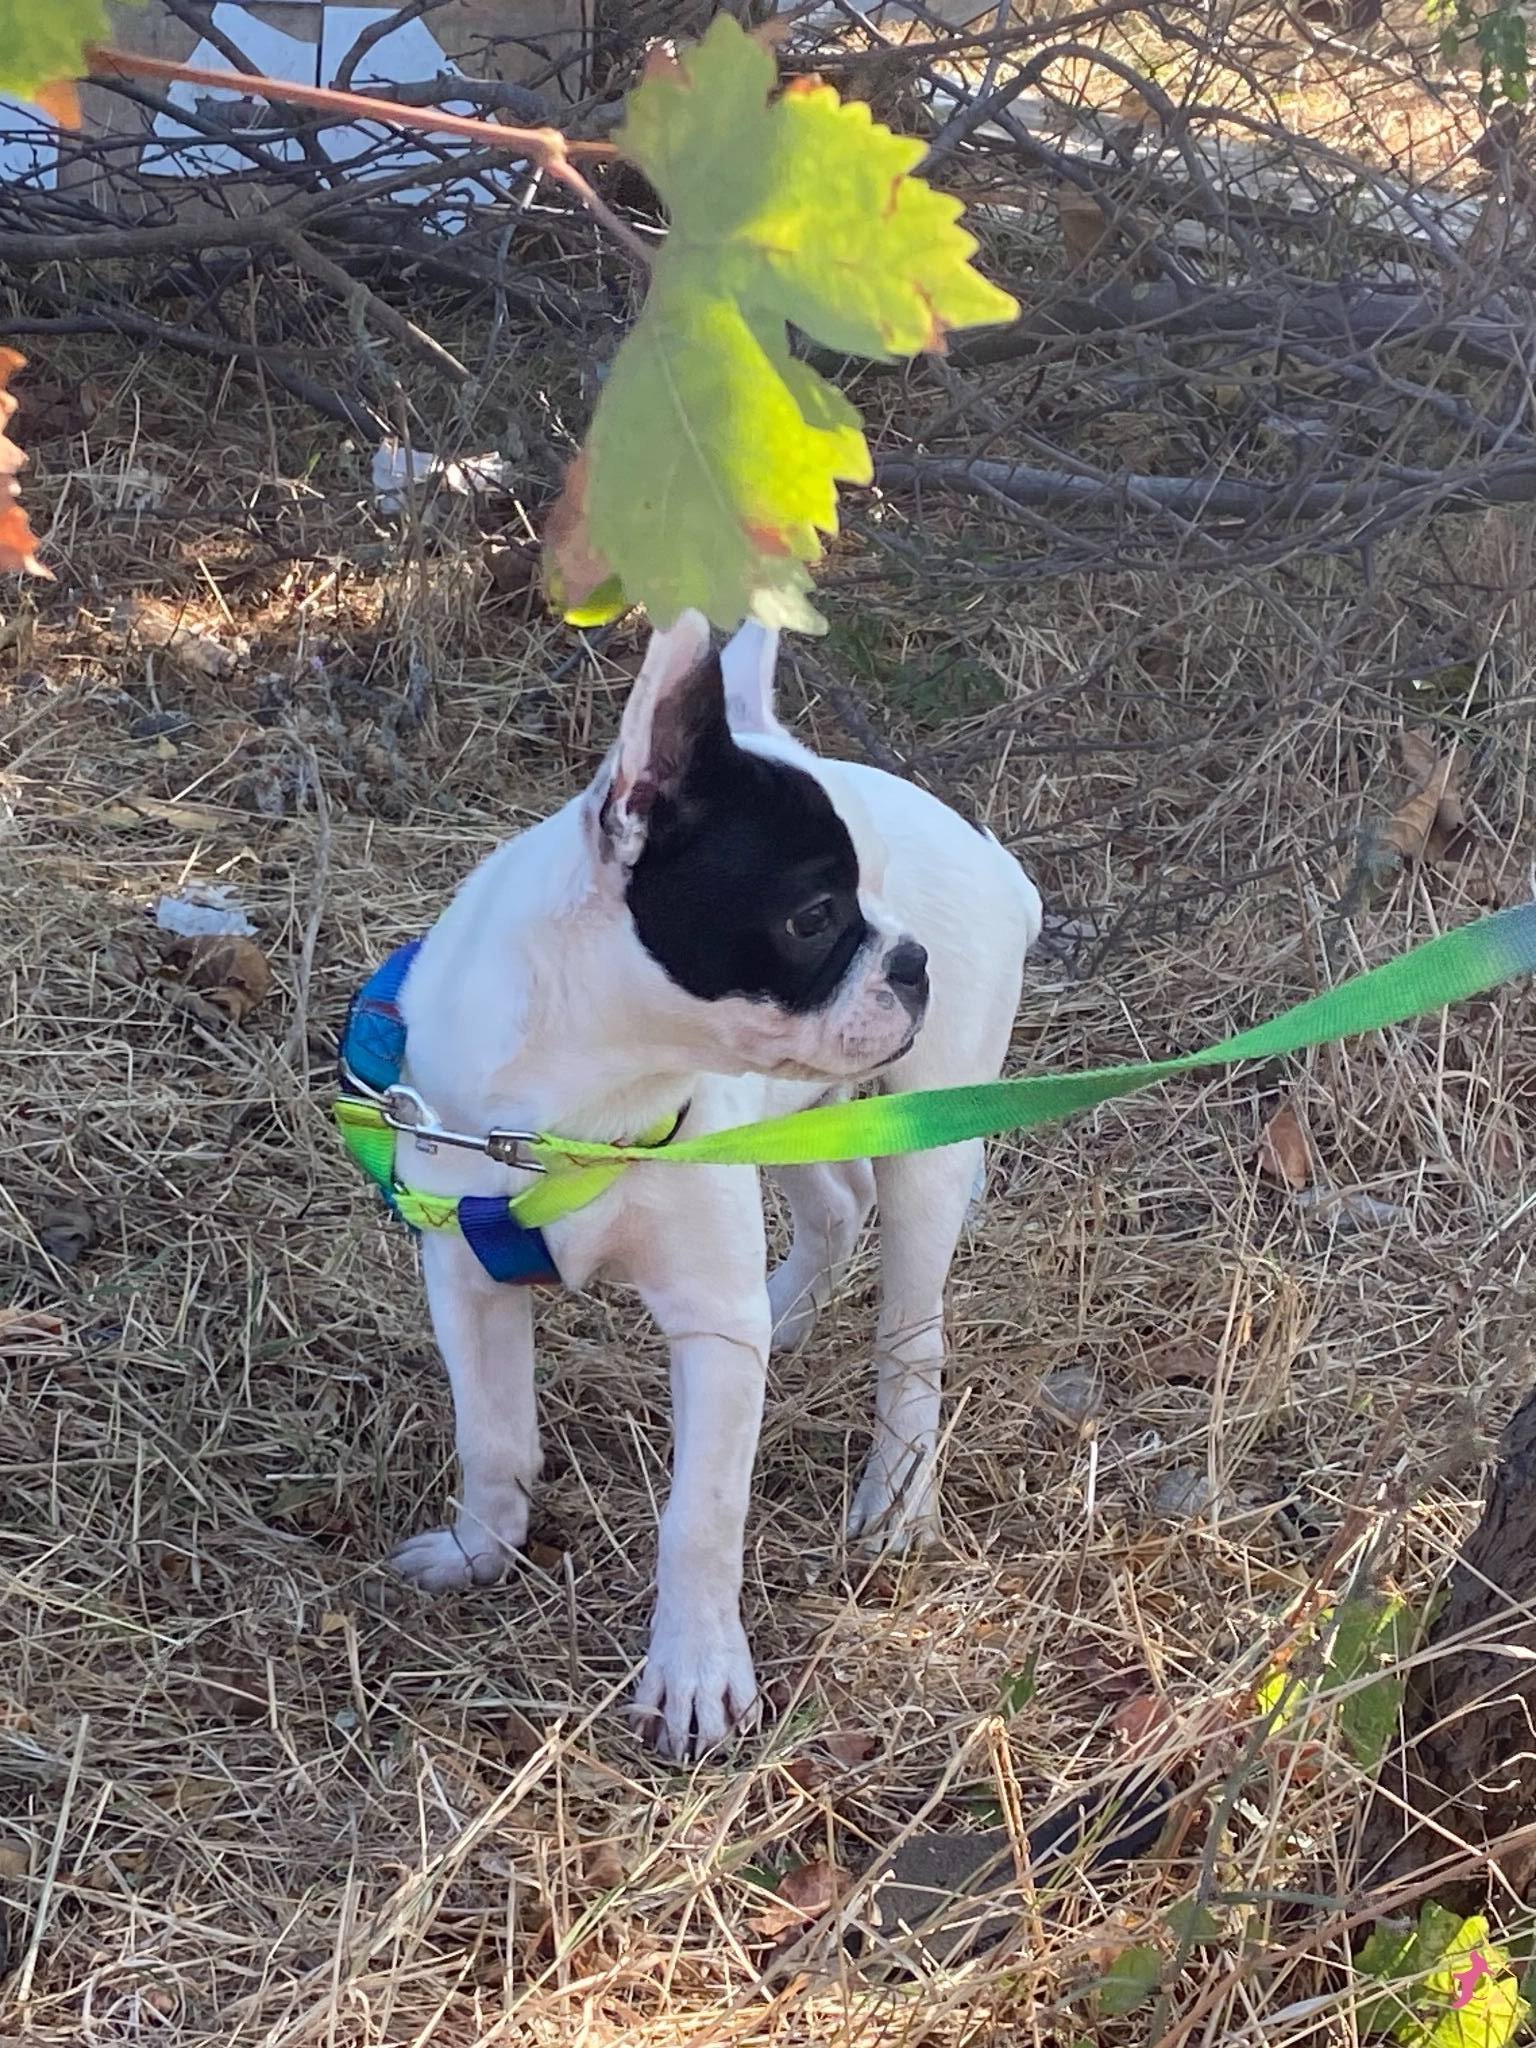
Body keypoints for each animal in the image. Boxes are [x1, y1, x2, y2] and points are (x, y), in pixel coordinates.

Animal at [383, 611, 1041, 1756]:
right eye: (815, 915)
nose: (911, 959)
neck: (584, 1099)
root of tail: (1001, 868)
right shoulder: (465, 1279)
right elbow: (492, 1435)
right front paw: (480, 1548)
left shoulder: (705, 1319)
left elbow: (702, 1515)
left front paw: (694, 1671)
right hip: (800, 1116)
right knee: (836, 1207)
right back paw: (787, 1315)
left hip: (926, 1146)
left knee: (909, 1335)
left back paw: (895, 1494)